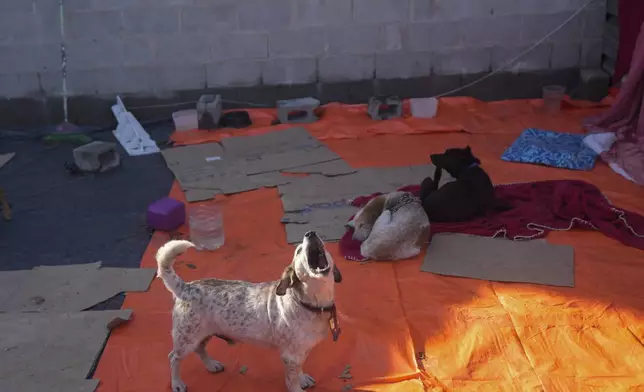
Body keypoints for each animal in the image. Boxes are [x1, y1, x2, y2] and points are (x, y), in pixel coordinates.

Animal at [155, 230, 342, 392]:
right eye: (298, 250)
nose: (310, 233)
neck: (309, 304)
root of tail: (185, 287)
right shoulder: (290, 356)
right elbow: (292, 380)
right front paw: (298, 385)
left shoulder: (301, 352)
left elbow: (299, 369)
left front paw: (303, 378)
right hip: (186, 338)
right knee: (173, 357)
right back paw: (177, 383)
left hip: (201, 334)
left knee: (199, 349)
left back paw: (211, 365)